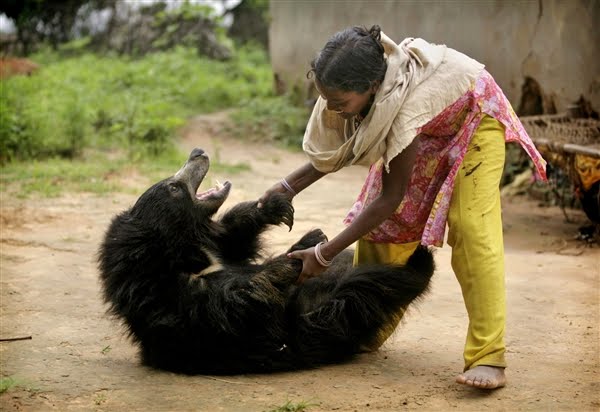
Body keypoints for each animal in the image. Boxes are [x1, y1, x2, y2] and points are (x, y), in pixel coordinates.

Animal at [99, 147, 436, 374]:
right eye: (173, 187)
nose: (198, 152)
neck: (184, 248)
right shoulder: (181, 308)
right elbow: (238, 302)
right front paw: (294, 260)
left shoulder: (216, 250)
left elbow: (236, 242)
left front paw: (277, 209)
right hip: (325, 318)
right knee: (370, 288)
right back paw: (421, 260)